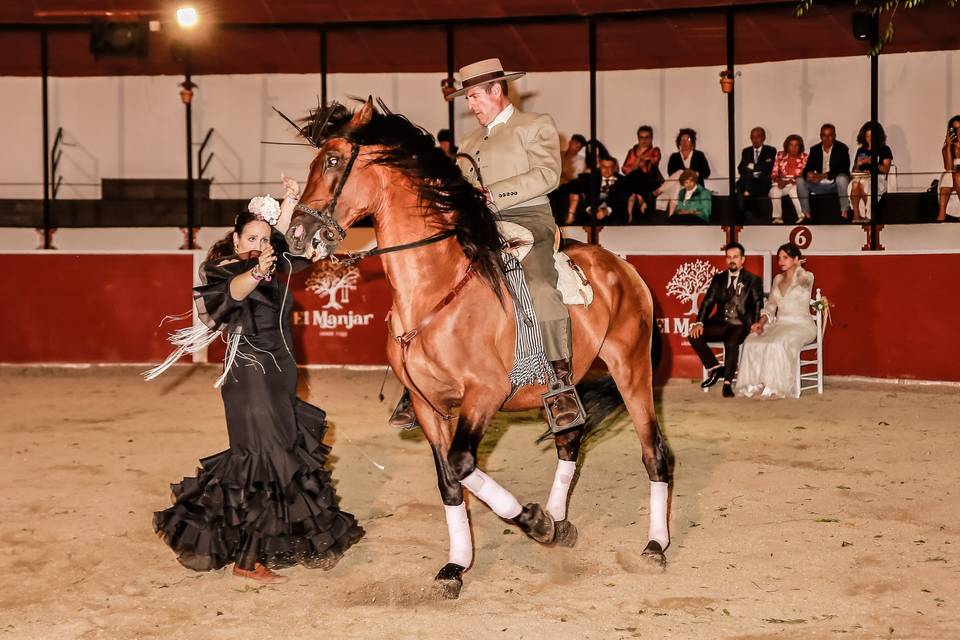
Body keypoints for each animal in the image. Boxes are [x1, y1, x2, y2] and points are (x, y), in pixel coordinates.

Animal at [280, 97, 668, 596]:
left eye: (331, 161)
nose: (294, 235)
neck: (434, 289)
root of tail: (622, 266)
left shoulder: (484, 395)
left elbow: (463, 463)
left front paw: (532, 522)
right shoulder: (428, 405)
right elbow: (448, 480)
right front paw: (457, 565)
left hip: (632, 370)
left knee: (653, 451)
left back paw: (654, 545)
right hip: (573, 384)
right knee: (569, 440)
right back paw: (561, 522)